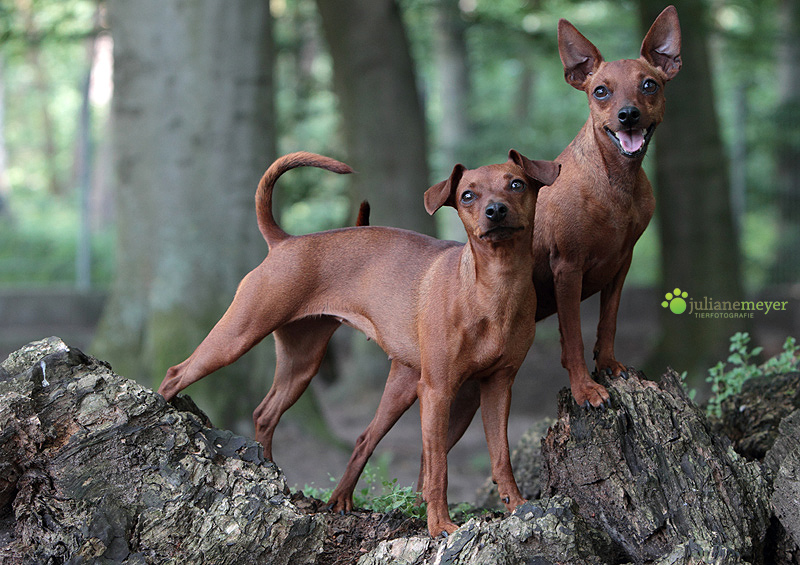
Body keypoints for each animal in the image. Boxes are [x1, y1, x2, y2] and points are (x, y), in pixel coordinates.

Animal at [155, 149, 556, 532]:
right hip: (236, 338)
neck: (493, 288)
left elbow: (500, 457)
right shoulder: (438, 391)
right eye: (467, 195)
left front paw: (519, 507)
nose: (495, 211)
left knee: (279, 416)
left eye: (517, 184)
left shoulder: (497, 387)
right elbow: (438, 467)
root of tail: (285, 242)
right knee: (176, 373)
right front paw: (440, 525)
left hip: (319, 368)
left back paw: (291, 481)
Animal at [320, 4, 680, 512]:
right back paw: (345, 501)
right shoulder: (568, 269)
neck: (615, 185)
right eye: (601, 92)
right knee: (373, 440)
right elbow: (573, 338)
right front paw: (585, 388)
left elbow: (606, 323)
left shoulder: (620, 267)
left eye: (649, 85)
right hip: (417, 387)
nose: (627, 115)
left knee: (426, 461)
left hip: (462, 400)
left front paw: (609, 366)